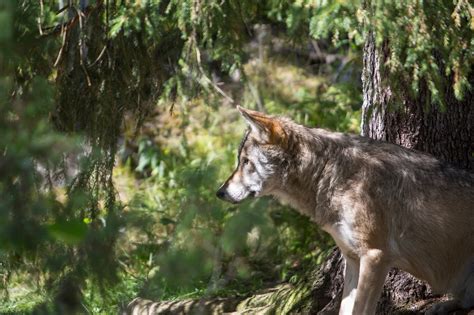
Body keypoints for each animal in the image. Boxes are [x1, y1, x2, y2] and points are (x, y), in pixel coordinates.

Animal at [216, 107, 474, 315]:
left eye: (245, 162)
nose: (219, 192)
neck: (329, 172)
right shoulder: (352, 258)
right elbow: (345, 309)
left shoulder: (375, 256)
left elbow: (360, 309)